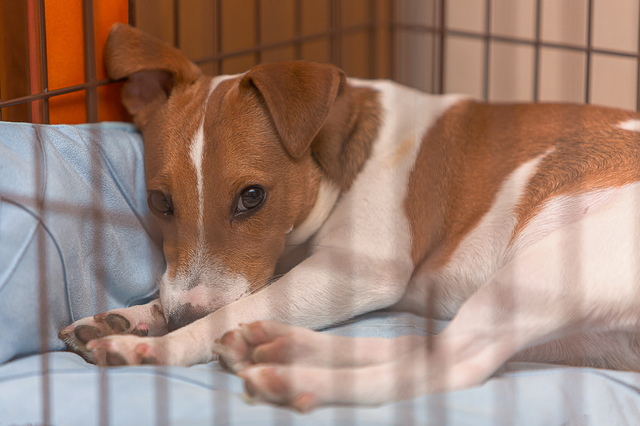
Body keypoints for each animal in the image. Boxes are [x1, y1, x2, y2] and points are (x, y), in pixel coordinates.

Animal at [58, 21, 640, 412]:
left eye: (252, 197)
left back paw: (298, 380)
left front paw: (157, 342)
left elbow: (230, 309)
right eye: (161, 203)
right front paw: (136, 315)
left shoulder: (358, 269)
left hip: (546, 272)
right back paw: (280, 347)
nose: (177, 319)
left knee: (450, 365)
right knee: (423, 347)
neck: (338, 154)